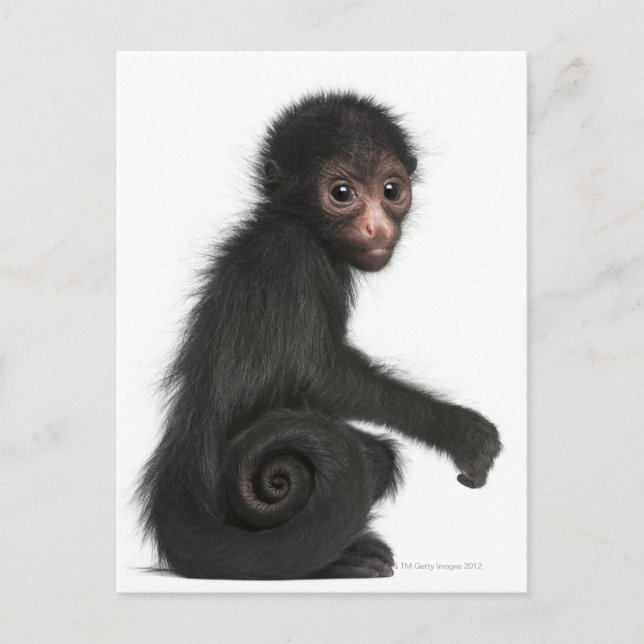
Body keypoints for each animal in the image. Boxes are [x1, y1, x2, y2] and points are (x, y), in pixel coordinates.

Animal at [137, 91, 502, 580]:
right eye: (342, 194)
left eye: (391, 190)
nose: (377, 227)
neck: (293, 223)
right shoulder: (294, 256)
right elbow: (319, 375)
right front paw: (460, 430)